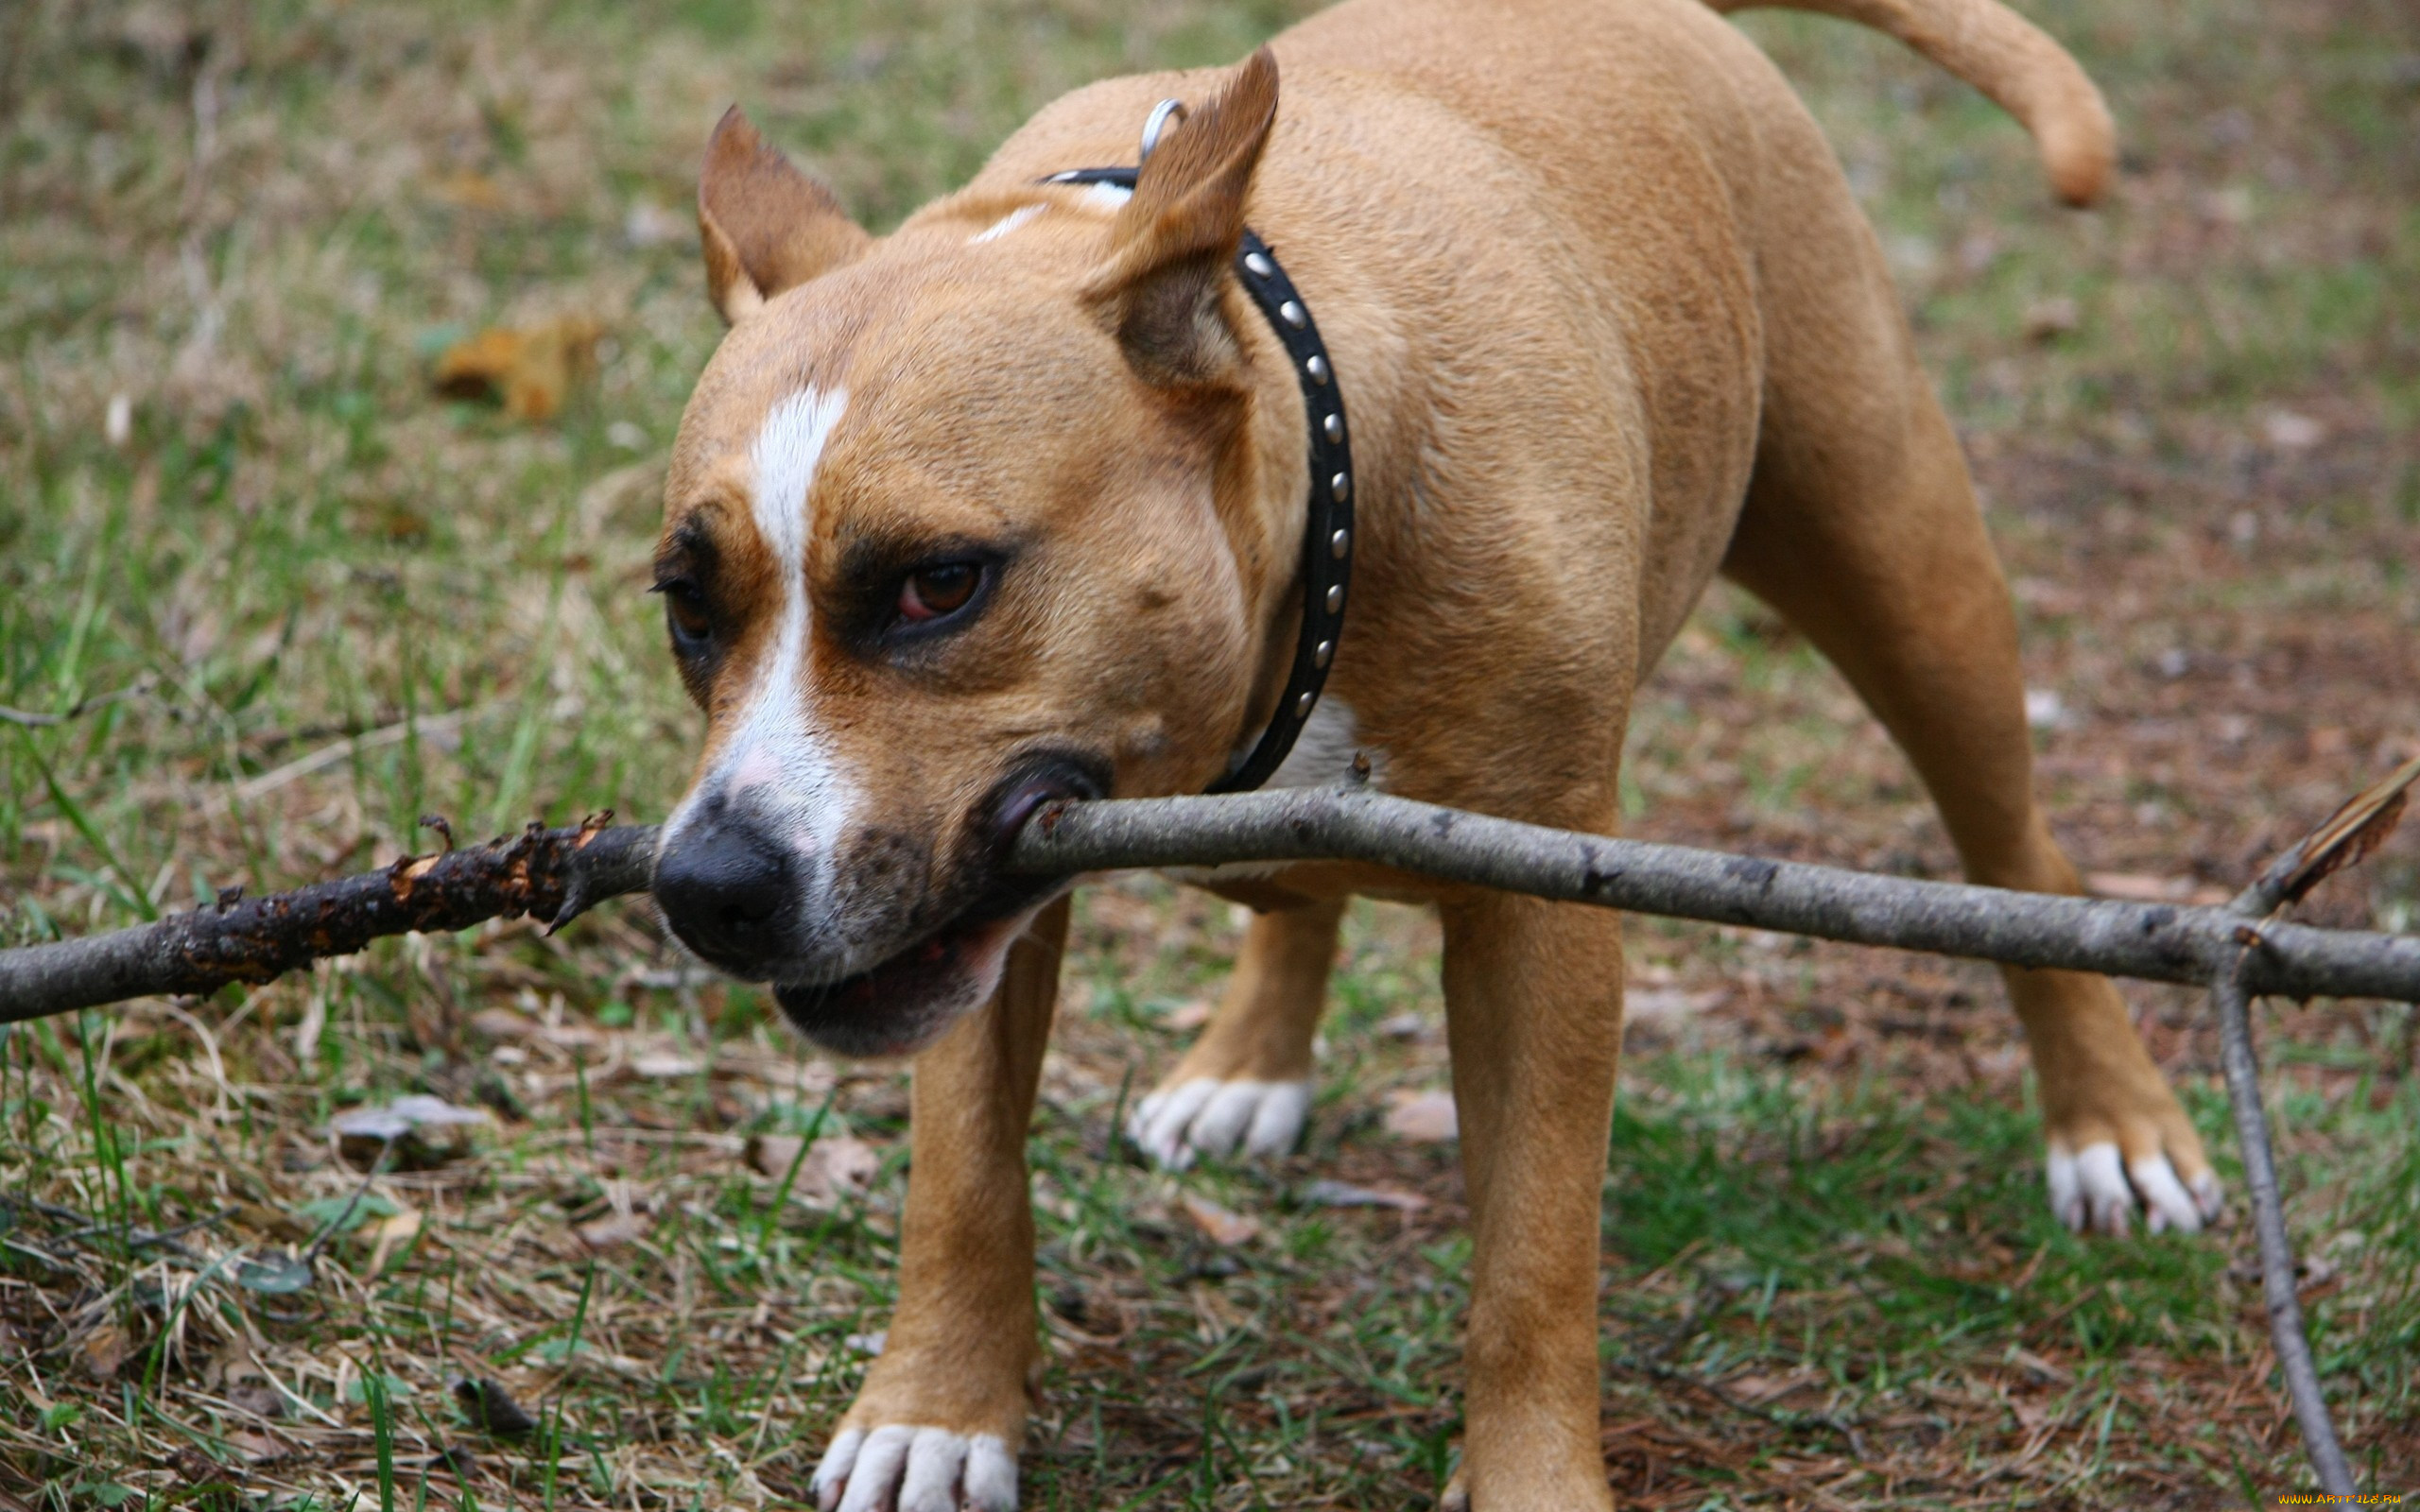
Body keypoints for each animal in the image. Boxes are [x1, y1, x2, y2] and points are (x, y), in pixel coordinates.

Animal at [648, 6, 2226, 1500]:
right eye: (687, 608)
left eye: (939, 585)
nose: (706, 886)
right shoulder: (979, 919)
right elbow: (966, 1183)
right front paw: (934, 1414)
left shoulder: (1541, 928)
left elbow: (1533, 1257)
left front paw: (1531, 1479)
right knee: (1300, 894)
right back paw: (1250, 1059)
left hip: (1906, 571)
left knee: (2019, 851)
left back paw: (2112, 1120)